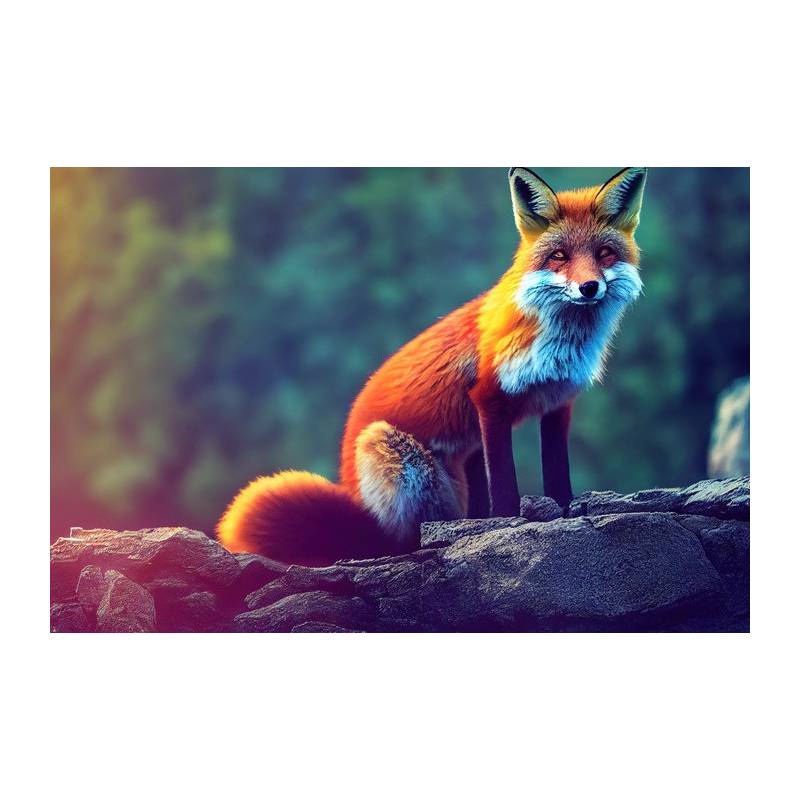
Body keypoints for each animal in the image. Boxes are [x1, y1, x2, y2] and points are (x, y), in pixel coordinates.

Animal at [217, 167, 646, 565]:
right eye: (559, 256)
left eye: (604, 253)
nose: (589, 287)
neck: (561, 341)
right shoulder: (488, 398)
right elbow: (504, 481)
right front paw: (508, 524)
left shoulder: (558, 400)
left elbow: (557, 471)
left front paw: (567, 511)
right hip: (393, 451)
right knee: (401, 538)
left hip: (463, 457)